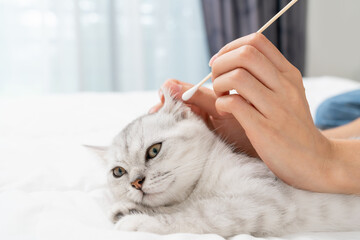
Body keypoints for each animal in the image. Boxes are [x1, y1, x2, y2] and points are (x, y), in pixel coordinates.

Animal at [90, 89, 360, 237]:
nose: (136, 183)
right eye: (118, 172)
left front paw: (140, 221)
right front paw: (126, 209)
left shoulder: (263, 198)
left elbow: (195, 214)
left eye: (154, 150)